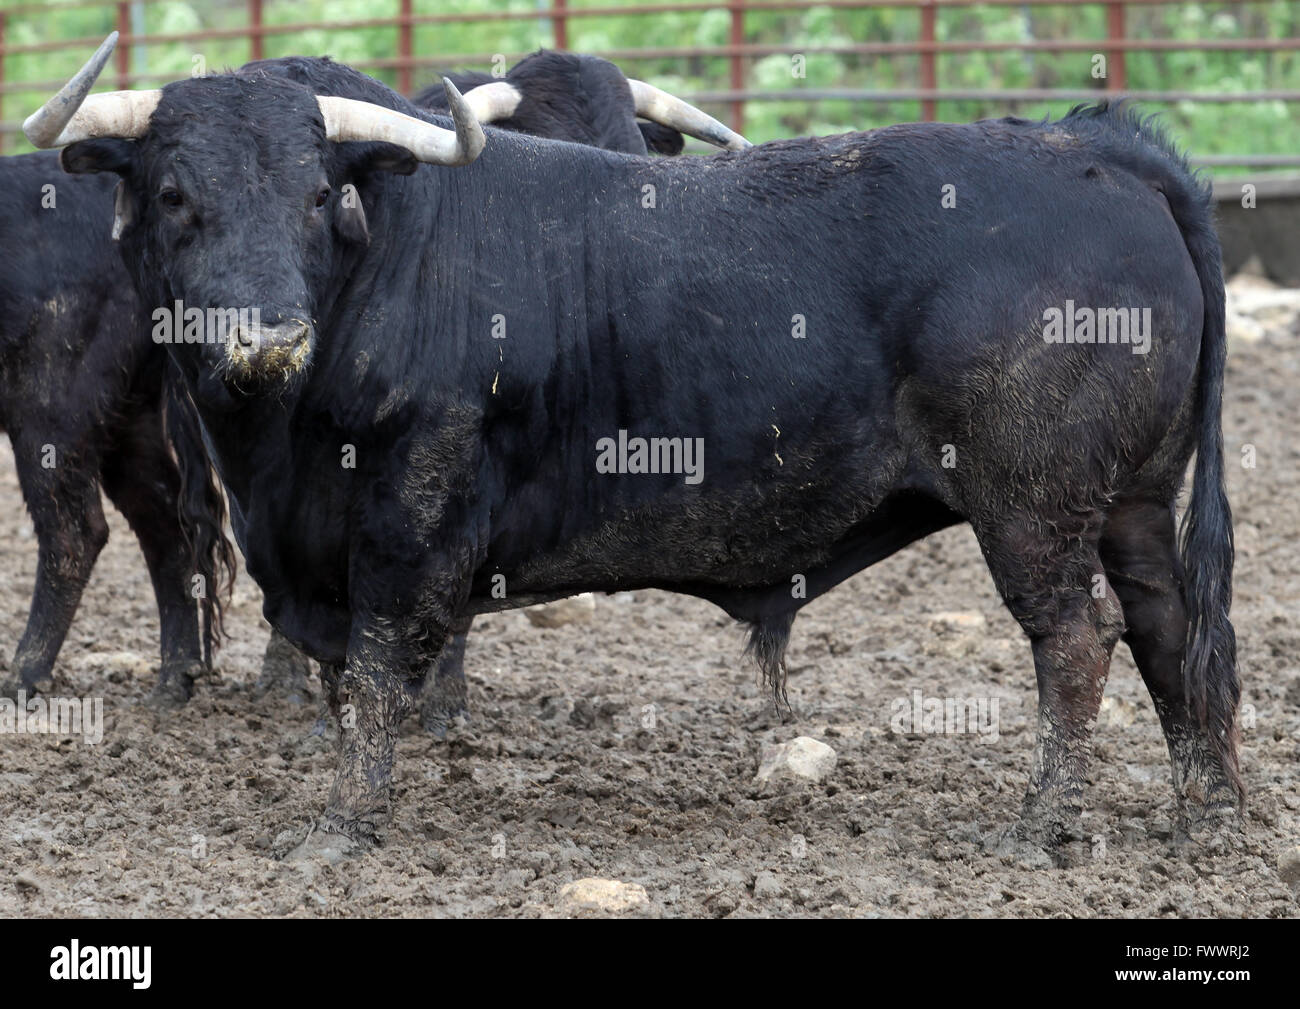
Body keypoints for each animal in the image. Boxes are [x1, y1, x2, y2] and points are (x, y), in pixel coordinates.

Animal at [40, 55, 1237, 847]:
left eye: (318, 189)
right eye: (175, 193)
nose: (266, 335)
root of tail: (1099, 146)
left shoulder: (406, 523)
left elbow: (378, 673)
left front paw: (342, 822)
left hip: (1033, 504)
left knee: (1077, 640)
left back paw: (1045, 823)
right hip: (1134, 499)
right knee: (1170, 629)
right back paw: (1207, 811)